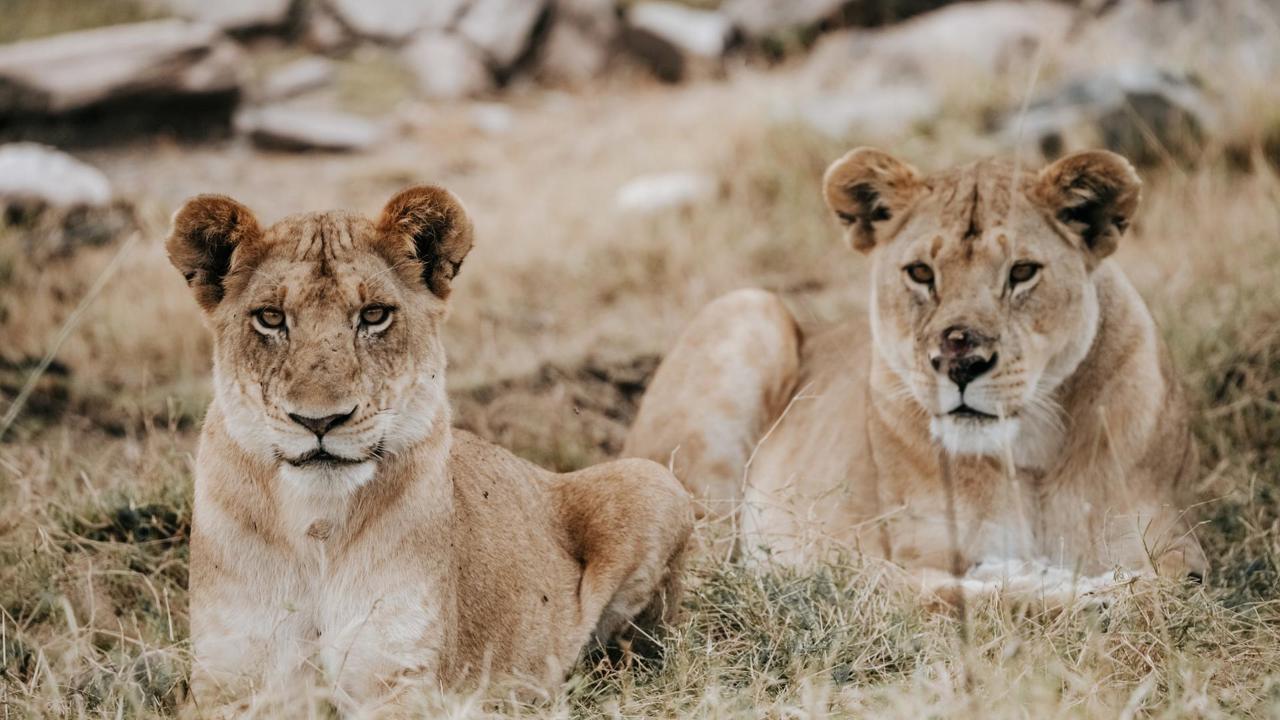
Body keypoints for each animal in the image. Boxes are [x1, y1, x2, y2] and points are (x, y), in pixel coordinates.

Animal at [166, 186, 692, 715]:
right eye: (271, 318)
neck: (317, 525)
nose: (320, 421)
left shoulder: (405, 679)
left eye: (374, 315)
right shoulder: (228, 684)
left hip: (651, 481)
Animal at [624, 148, 1207, 604]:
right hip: (745, 311)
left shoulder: (1172, 543)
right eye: (921, 273)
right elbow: (962, 594)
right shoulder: (917, 550)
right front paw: (1043, 583)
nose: (961, 362)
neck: (1030, 455)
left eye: (1022, 272)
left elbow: (1164, 587)